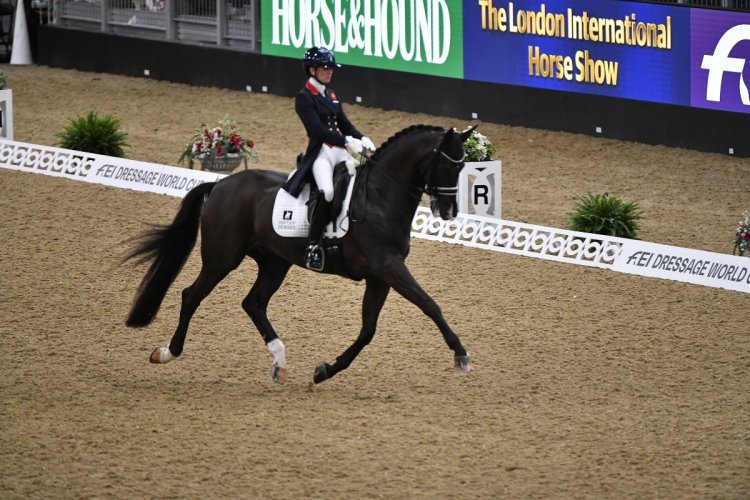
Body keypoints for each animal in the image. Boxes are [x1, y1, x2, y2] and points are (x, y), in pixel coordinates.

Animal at [123, 124, 475, 384]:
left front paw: (325, 371)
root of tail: (221, 184)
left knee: (253, 303)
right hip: (222, 258)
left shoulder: (381, 276)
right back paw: (167, 352)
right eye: (447, 163)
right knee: (192, 295)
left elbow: (368, 331)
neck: (379, 198)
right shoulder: (388, 267)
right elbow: (429, 304)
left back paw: (279, 362)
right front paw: (461, 354)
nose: (449, 211)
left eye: (462, 166)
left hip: (274, 262)